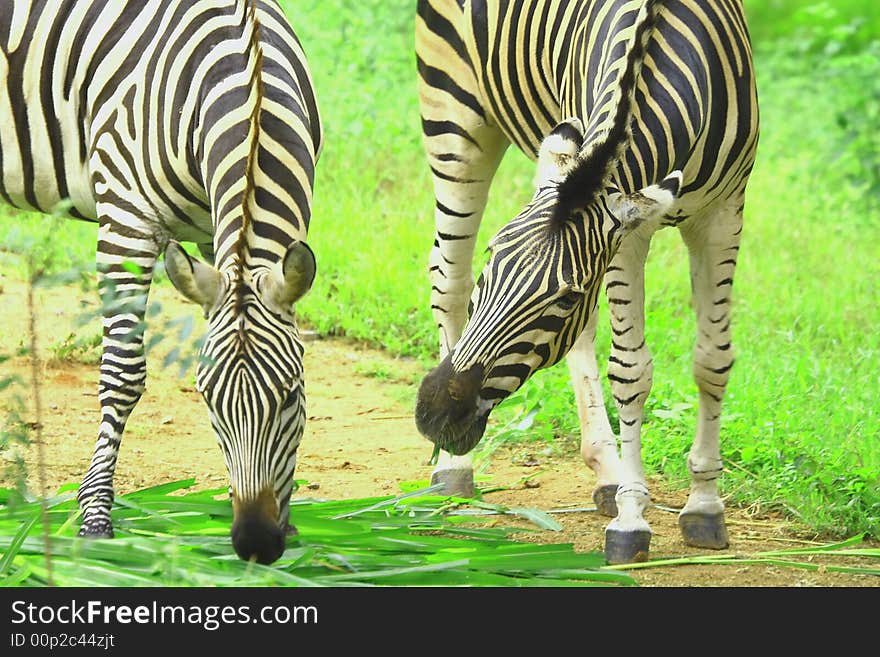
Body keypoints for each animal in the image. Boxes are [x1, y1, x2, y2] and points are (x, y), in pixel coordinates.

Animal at [0, 1, 324, 564]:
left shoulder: (219, 240)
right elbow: (123, 374)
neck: (250, 73)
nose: (255, 544)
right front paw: (95, 516)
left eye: (290, 397)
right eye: (208, 401)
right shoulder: (125, 219)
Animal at [412, 0, 756, 564]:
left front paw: (704, 505)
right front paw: (633, 518)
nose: (436, 414)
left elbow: (712, 362)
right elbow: (632, 373)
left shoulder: (724, 213)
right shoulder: (627, 240)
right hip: (453, 115)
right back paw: (453, 468)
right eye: (492, 261)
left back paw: (606, 471)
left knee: (585, 332)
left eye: (565, 297)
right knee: (447, 277)